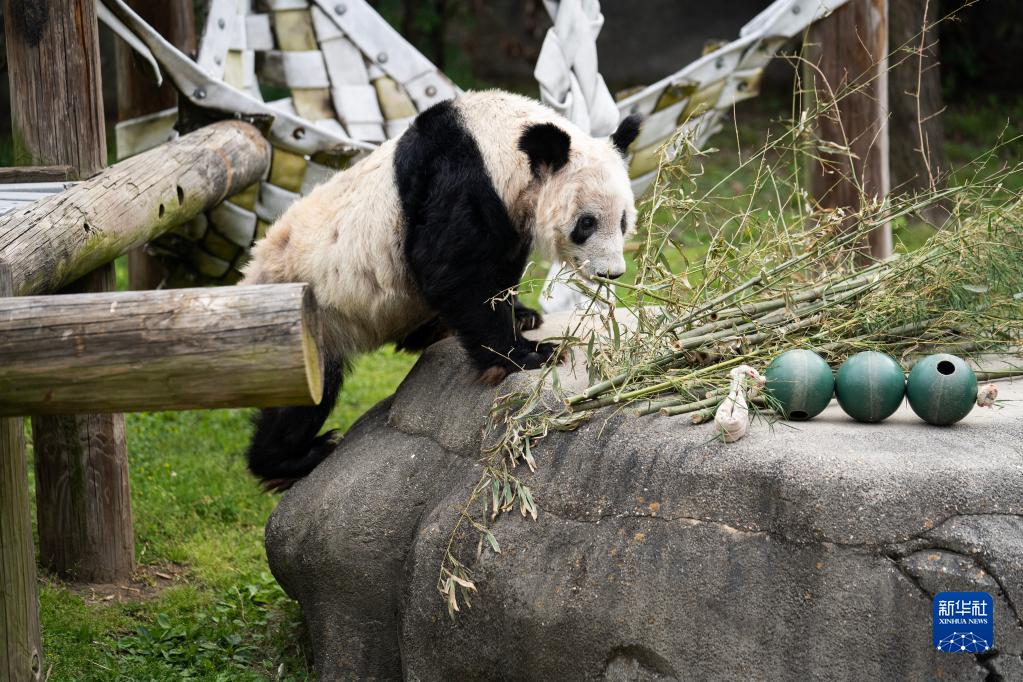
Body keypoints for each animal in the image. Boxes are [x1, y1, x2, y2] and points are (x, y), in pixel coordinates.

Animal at [241, 89, 638, 490]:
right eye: (586, 223)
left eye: (623, 220)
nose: (612, 273)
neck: (497, 140)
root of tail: (252, 277)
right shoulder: (457, 176)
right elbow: (450, 268)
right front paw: (529, 354)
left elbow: (498, 267)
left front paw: (522, 316)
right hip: (308, 315)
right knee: (303, 396)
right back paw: (292, 458)